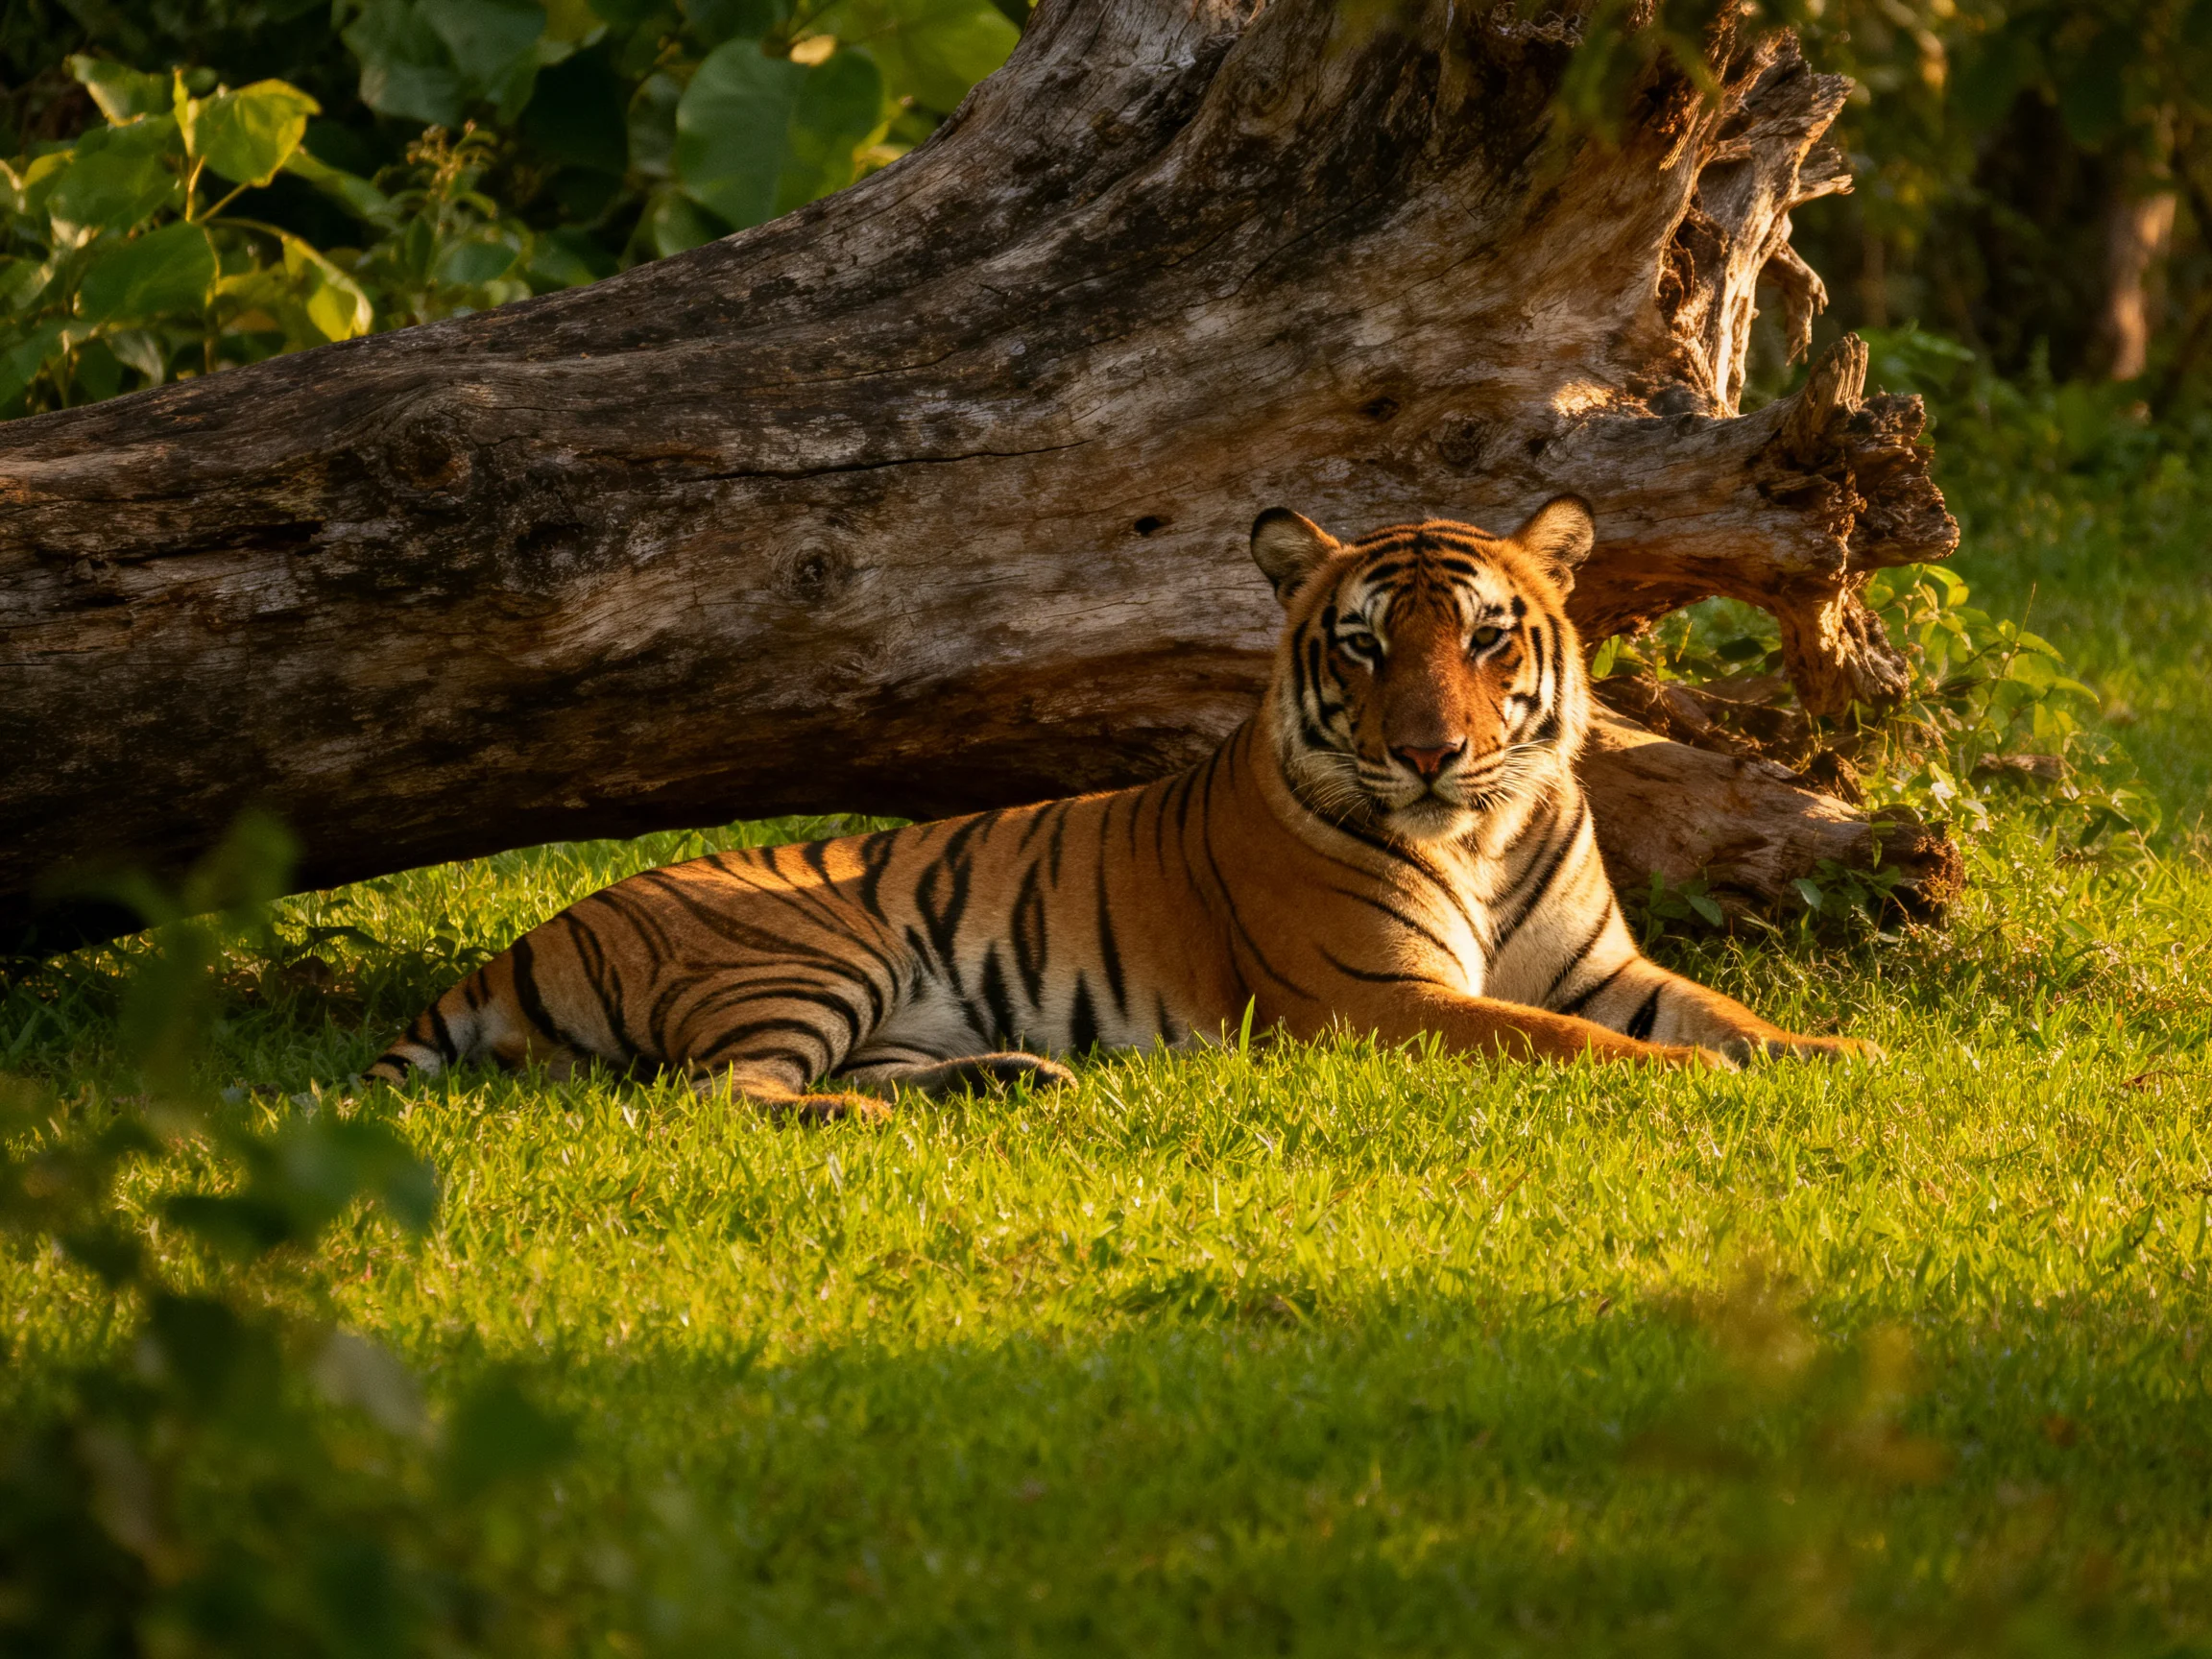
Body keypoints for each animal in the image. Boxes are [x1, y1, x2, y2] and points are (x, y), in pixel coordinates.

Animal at [364, 496, 1873, 1117]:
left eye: (1489, 639)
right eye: (1364, 647)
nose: (1434, 753)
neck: (1486, 832)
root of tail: (523, 939)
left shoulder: (1605, 965)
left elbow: (1725, 1013)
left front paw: (1838, 1056)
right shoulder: (1379, 1002)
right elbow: (1570, 1045)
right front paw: (1695, 1082)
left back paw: (1017, 1081)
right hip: (810, 957)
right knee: (722, 1097)